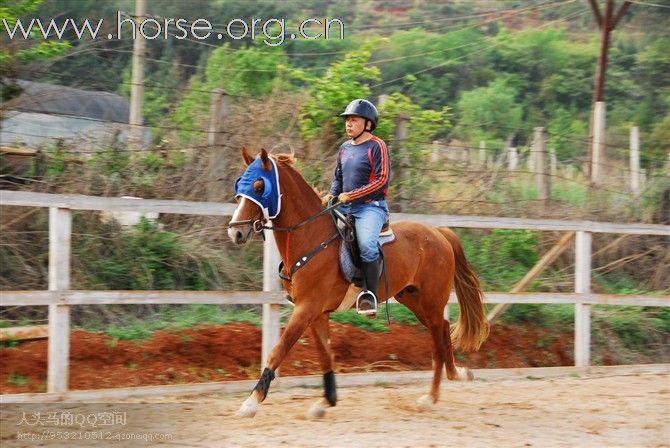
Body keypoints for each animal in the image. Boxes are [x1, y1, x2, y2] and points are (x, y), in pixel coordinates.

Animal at [227, 149, 488, 418]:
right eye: (240, 185)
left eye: (259, 186)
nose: (235, 232)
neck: (311, 237)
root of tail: (439, 233)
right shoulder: (317, 313)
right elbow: (325, 355)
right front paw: (326, 401)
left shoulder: (306, 309)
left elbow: (278, 350)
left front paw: (251, 402)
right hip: (415, 300)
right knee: (444, 331)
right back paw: (457, 375)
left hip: (432, 302)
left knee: (438, 342)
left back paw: (430, 397)